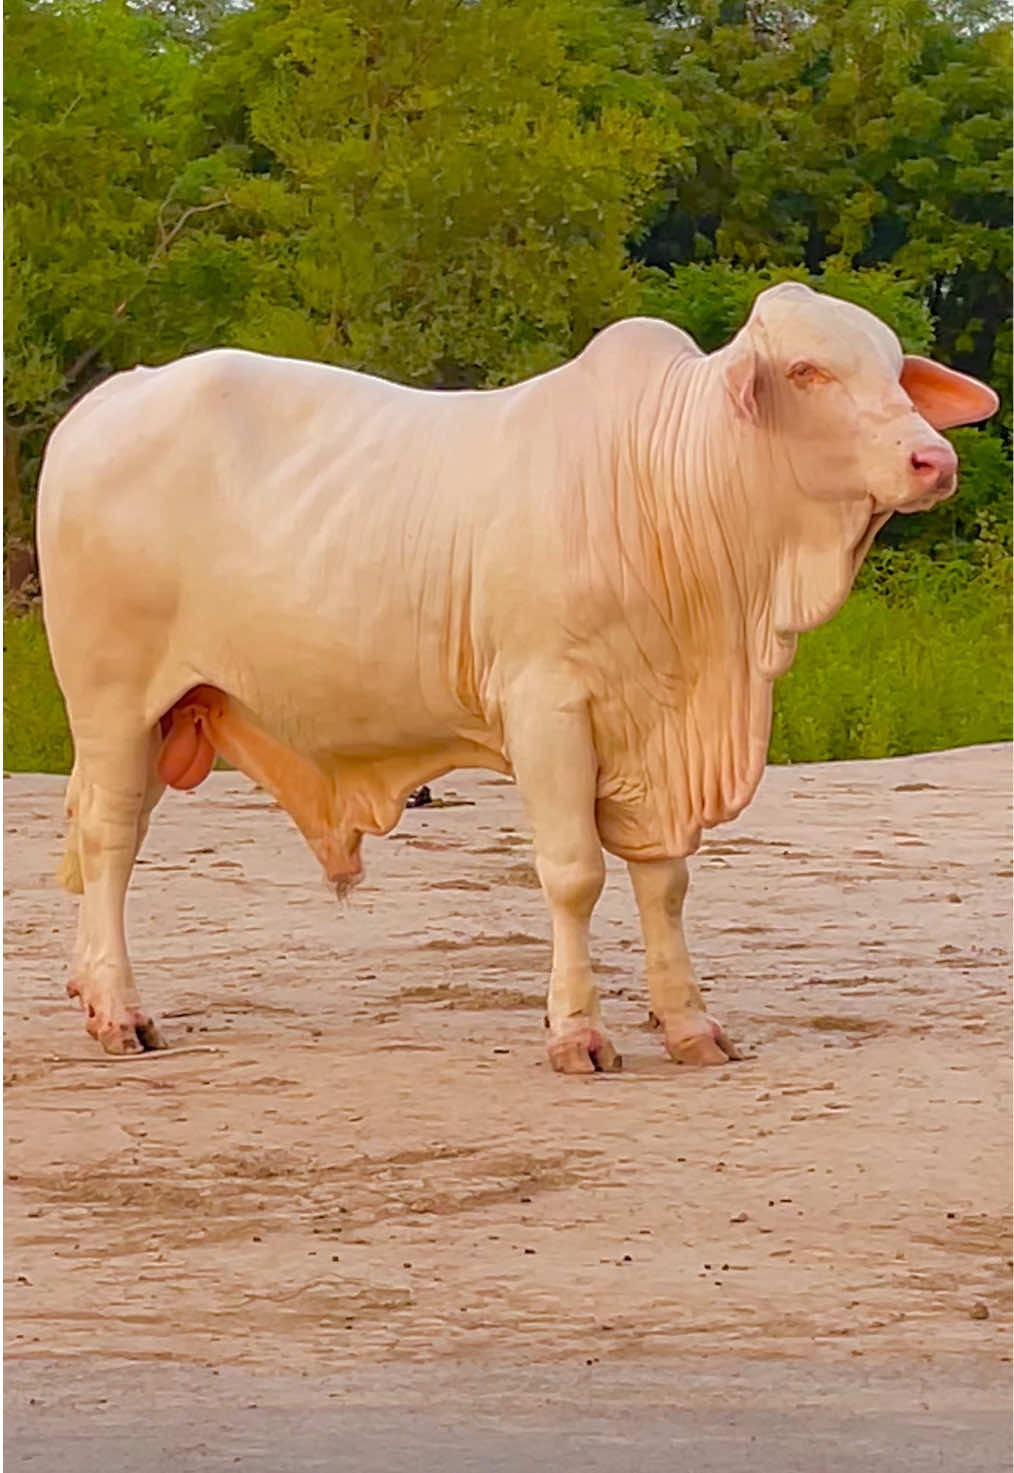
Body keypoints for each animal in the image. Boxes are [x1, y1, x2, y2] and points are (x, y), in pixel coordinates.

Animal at [36, 283, 998, 1070]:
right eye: (807, 370)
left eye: (895, 369)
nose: (933, 459)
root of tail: (111, 397)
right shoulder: (548, 706)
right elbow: (574, 872)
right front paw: (578, 1030)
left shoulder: (653, 725)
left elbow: (665, 883)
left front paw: (690, 1024)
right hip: (112, 700)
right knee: (110, 841)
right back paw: (120, 1012)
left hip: (168, 713)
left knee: (110, 831)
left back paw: (90, 987)